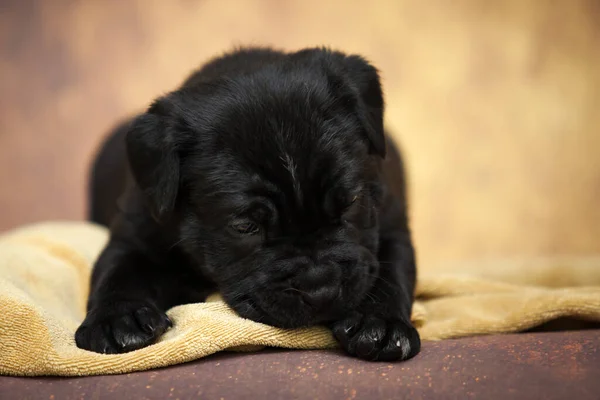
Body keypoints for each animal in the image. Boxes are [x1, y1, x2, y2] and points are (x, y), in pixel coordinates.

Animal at [76, 47, 422, 362]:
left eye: (351, 202)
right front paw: (117, 320)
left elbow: (392, 269)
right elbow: (116, 270)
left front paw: (380, 323)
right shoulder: (136, 232)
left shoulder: (390, 221)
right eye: (244, 226)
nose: (320, 288)